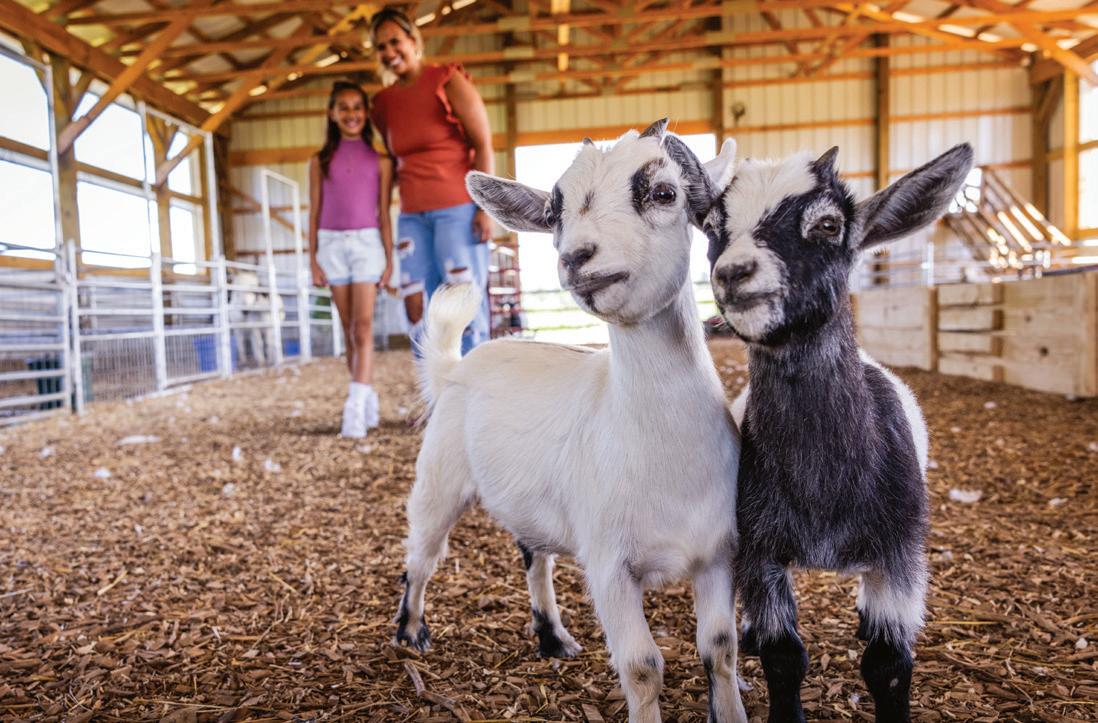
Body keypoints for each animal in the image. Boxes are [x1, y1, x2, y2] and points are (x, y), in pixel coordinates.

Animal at [393, 120, 747, 723]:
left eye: (664, 192)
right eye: (554, 211)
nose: (578, 256)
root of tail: (456, 365)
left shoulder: (717, 554)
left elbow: (720, 650)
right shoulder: (608, 565)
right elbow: (642, 668)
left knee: (533, 558)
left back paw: (552, 637)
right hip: (440, 476)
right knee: (422, 553)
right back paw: (411, 631)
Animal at [701, 144, 973, 722]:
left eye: (828, 225)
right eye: (712, 227)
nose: (733, 273)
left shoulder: (899, 547)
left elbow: (888, 665)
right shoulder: (759, 544)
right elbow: (783, 657)